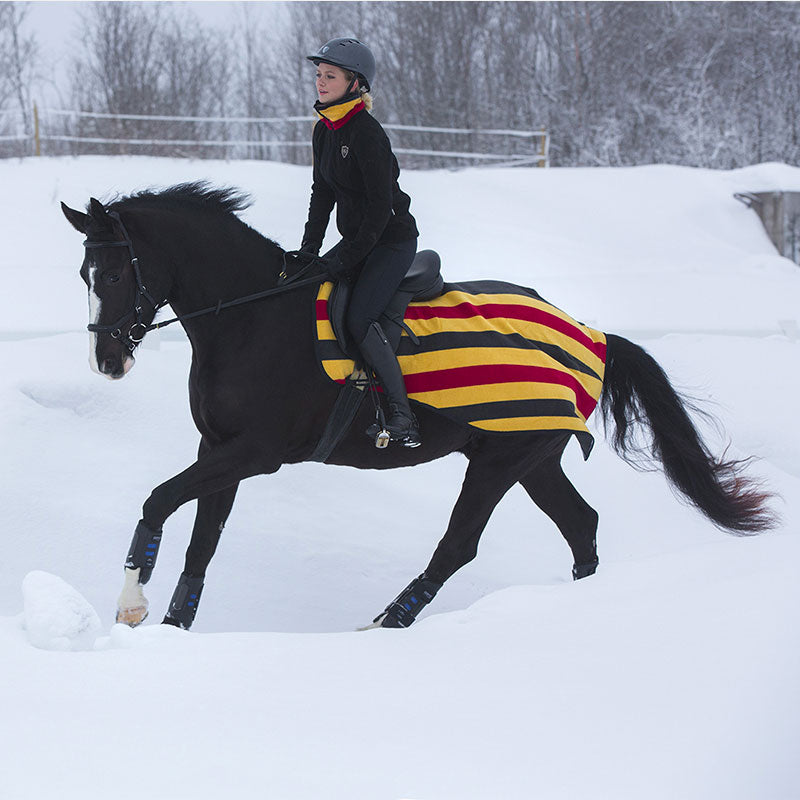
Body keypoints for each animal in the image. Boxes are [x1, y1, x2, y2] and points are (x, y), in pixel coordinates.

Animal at [59, 183, 772, 632]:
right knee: (582, 524)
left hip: (501, 461)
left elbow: (157, 500)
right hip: (532, 458)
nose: (108, 360)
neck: (252, 316)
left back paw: (385, 622)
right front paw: (172, 625)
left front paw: (130, 606)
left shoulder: (254, 453)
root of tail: (589, 335)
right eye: (84, 276)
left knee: (459, 544)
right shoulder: (221, 451)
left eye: (115, 273)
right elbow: (202, 542)